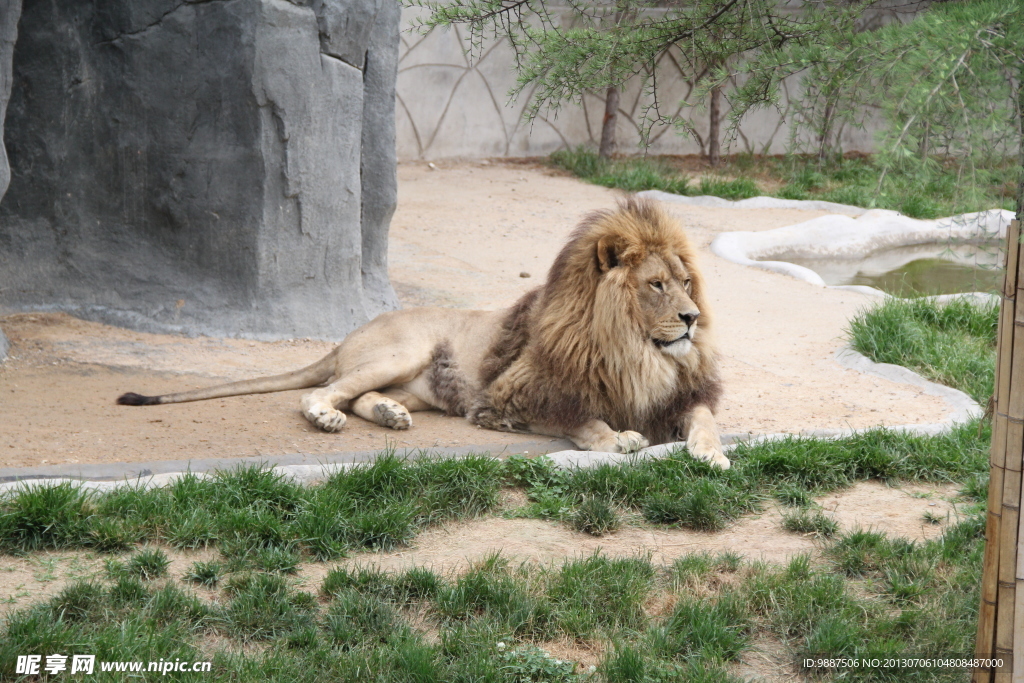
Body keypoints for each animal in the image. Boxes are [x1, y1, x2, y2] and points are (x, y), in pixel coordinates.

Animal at [117, 194, 729, 466]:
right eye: (655, 285)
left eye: (685, 282)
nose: (692, 319)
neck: (635, 349)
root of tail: (348, 335)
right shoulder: (512, 397)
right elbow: (582, 421)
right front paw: (618, 437)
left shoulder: (679, 394)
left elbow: (703, 419)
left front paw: (712, 454)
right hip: (401, 352)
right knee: (323, 392)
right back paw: (327, 417)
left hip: (419, 383)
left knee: (360, 396)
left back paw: (389, 414)